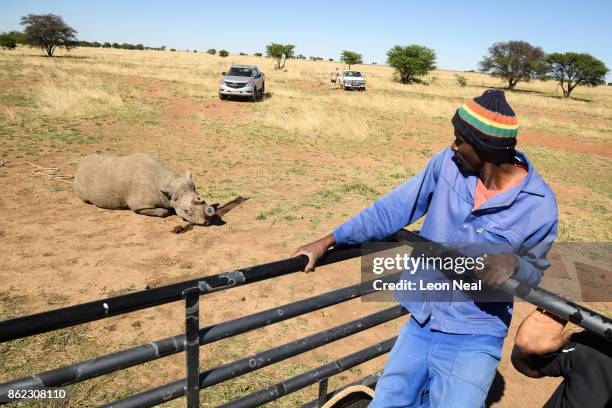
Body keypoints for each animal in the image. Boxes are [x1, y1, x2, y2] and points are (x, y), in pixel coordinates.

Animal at [73, 153, 216, 225]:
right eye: (186, 211)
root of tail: (80, 163)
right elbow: (164, 212)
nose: (208, 221)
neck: (170, 184)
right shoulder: (141, 205)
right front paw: (167, 211)